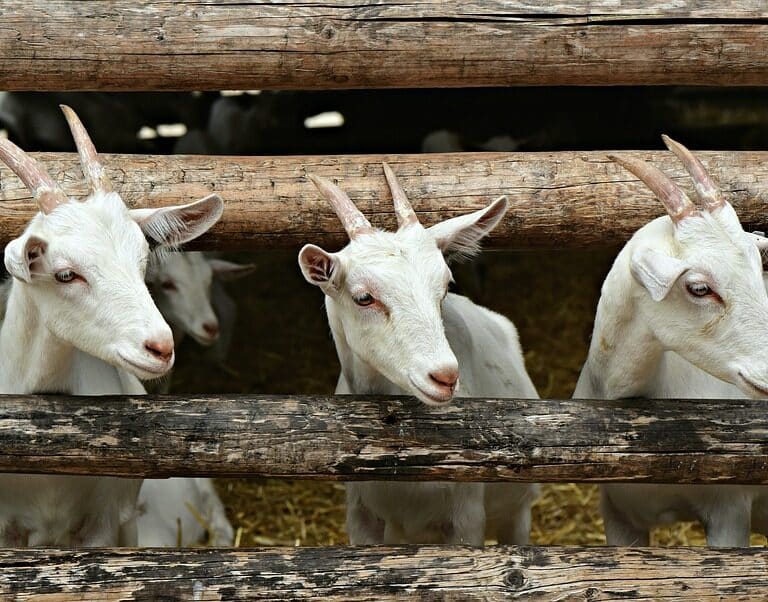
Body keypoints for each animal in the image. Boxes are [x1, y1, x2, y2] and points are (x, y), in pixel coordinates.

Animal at [298, 164, 539, 545]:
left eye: (446, 285)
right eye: (363, 297)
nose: (445, 376)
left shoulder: (466, 516)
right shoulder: (361, 514)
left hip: (518, 510)